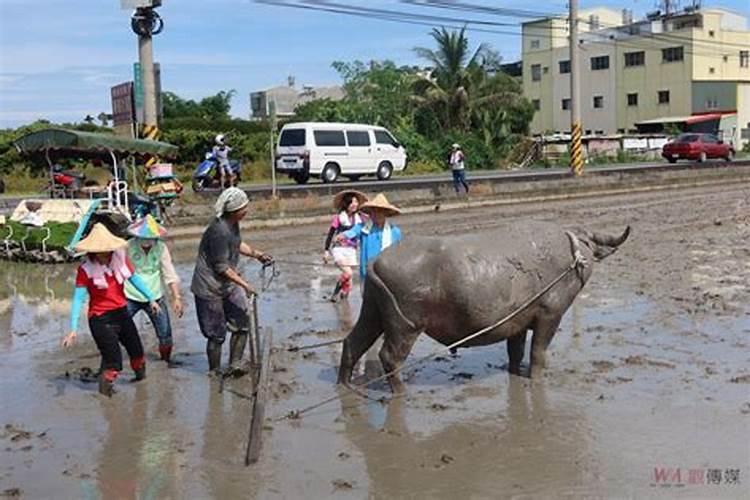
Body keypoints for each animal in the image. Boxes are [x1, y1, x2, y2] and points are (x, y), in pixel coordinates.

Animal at [338, 221, 632, 392]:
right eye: (589, 243)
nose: (591, 253)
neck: (570, 254)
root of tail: (376, 262)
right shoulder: (550, 316)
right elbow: (538, 353)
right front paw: (537, 379)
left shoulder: (518, 322)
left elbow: (516, 353)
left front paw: (515, 373)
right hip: (404, 325)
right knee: (390, 357)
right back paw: (401, 393)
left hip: (373, 312)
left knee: (353, 342)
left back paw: (344, 385)